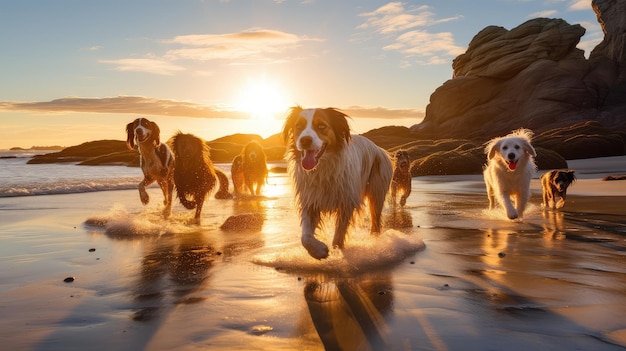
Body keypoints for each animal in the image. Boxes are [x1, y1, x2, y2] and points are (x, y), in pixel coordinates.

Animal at [282, 107, 390, 262]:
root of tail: (379, 148)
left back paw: (375, 241)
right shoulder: (310, 200)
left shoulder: (347, 202)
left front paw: (337, 250)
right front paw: (319, 250)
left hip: (377, 191)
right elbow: (305, 236)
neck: (322, 170)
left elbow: (339, 233)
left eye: (321, 126)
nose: (305, 140)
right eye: (299, 126)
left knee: (375, 220)